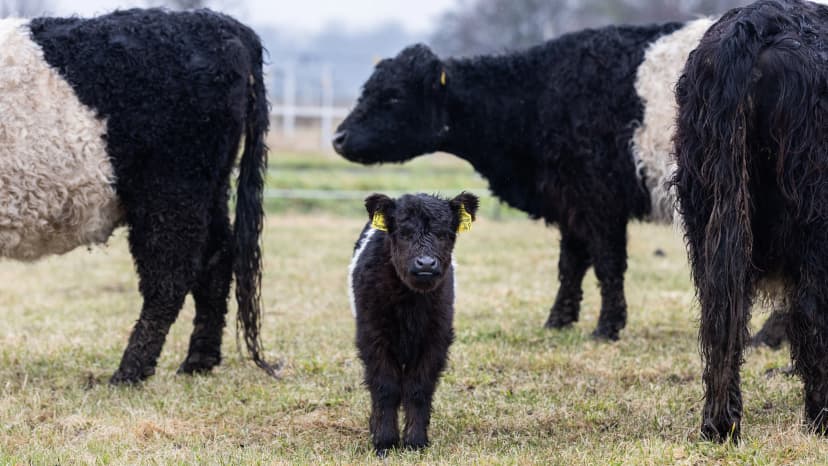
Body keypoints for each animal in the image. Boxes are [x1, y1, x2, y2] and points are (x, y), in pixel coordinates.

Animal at [0, 9, 276, 384]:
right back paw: (198, 361)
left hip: (170, 189)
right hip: (209, 189)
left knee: (169, 278)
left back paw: (129, 372)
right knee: (216, 259)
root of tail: (216, 21)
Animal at [349, 192, 478, 455]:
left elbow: (419, 389)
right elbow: (385, 387)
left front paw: (415, 442)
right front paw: (384, 442)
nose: (426, 263)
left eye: (444, 234)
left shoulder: (436, 338)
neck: (410, 303)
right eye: (404, 233)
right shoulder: (373, 337)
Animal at [674, 0, 828, 441]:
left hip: (707, 207)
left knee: (722, 310)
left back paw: (720, 424)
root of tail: (755, 22)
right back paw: (821, 417)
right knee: (812, 310)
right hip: (814, 218)